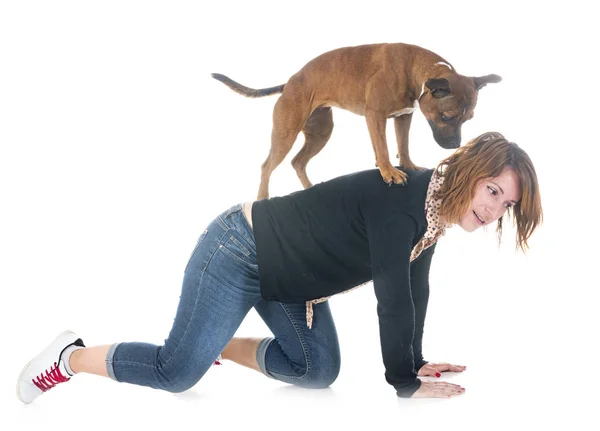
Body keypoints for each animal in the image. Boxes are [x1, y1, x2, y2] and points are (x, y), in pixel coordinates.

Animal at [212, 43, 502, 200]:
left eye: (469, 119)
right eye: (446, 117)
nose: (454, 146)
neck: (418, 70)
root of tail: (289, 83)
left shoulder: (403, 117)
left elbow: (403, 144)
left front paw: (407, 165)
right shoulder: (376, 116)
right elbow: (383, 147)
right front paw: (389, 172)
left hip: (321, 133)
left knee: (298, 162)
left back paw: (310, 190)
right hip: (286, 134)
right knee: (266, 167)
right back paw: (262, 198)